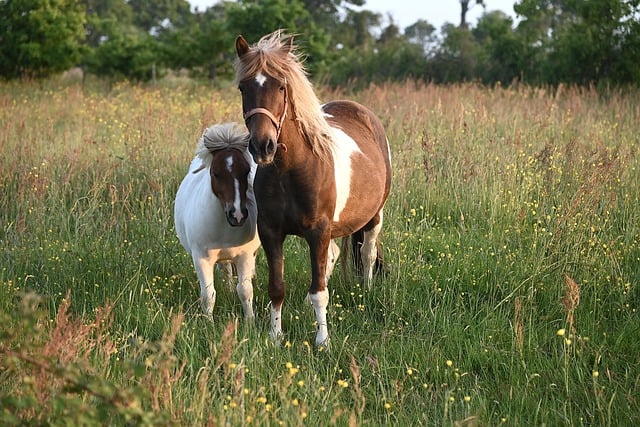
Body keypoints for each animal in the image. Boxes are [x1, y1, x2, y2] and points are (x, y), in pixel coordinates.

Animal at [175, 122, 260, 320]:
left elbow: (245, 290)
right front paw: (208, 322)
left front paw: (250, 321)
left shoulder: (244, 256)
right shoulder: (201, 258)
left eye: (246, 171)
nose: (238, 215)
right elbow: (208, 294)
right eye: (216, 173)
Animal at [235, 30, 392, 348]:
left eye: (281, 86)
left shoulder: (318, 231)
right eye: (243, 87)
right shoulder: (271, 232)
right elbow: (277, 287)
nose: (263, 146)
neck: (290, 170)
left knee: (368, 254)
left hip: (374, 217)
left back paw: (367, 292)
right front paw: (275, 336)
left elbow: (320, 291)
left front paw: (323, 341)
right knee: (333, 255)